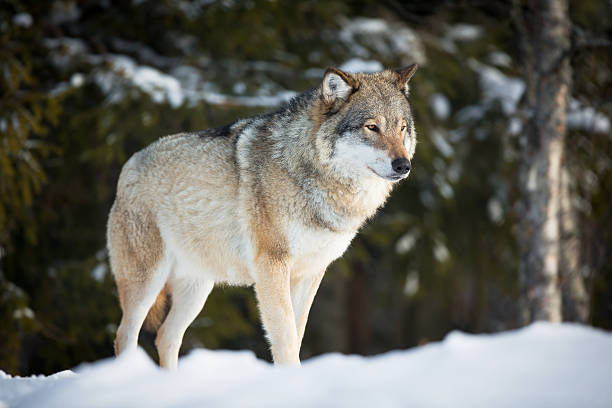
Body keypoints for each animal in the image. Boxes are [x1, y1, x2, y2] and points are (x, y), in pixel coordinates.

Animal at [107, 64, 418, 370]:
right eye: (372, 127)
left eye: (402, 128)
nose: (403, 165)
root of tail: (129, 164)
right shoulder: (272, 265)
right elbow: (285, 340)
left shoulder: (311, 272)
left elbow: (297, 334)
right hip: (147, 282)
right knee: (125, 336)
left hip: (197, 290)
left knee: (165, 337)